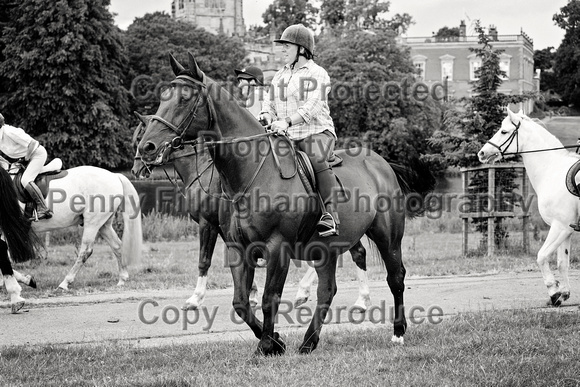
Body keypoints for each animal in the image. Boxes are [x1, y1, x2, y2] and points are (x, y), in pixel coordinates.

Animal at [5, 160, 143, 292]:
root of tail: (114, 175)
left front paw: (23, 282)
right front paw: (22, 281)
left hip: (92, 222)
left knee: (86, 251)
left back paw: (65, 283)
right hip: (104, 225)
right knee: (117, 246)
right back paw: (122, 279)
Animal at [137, 53, 436, 356]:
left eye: (185, 98)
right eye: (163, 96)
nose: (146, 148)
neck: (251, 171)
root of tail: (381, 163)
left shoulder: (275, 247)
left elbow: (269, 296)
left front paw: (266, 345)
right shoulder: (237, 247)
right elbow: (240, 301)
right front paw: (275, 340)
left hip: (387, 236)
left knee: (395, 277)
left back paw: (397, 332)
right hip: (328, 247)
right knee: (328, 289)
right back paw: (309, 341)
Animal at [478, 108, 576, 306]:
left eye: (504, 131)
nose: (482, 153)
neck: (552, 171)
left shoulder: (560, 227)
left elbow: (541, 256)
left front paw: (553, 292)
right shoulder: (566, 229)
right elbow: (562, 263)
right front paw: (563, 293)